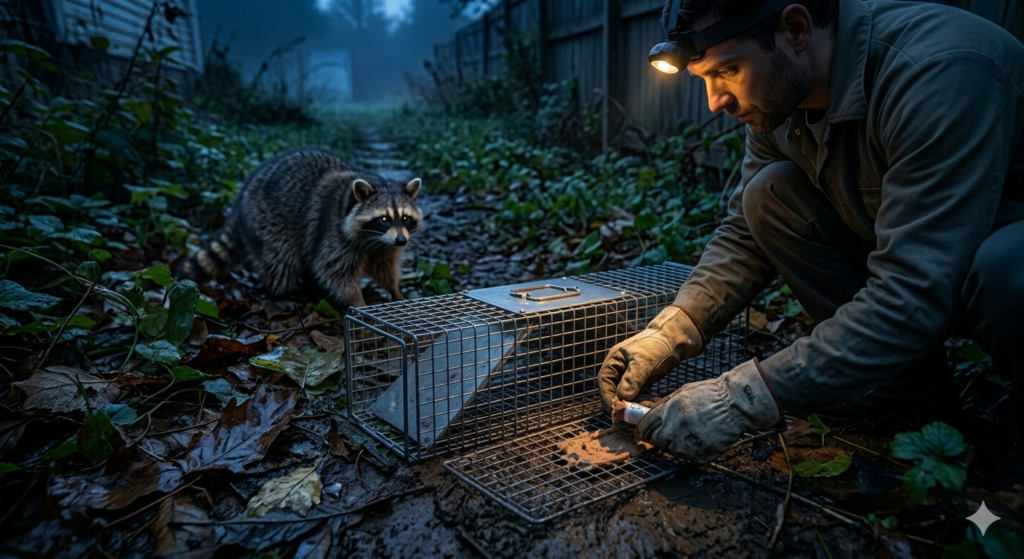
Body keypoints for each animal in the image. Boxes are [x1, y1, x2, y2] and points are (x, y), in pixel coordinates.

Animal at [178, 147, 422, 309]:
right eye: (384, 218)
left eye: (405, 217)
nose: (402, 241)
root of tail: (239, 204)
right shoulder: (333, 232)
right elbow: (333, 270)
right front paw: (358, 301)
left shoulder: (383, 246)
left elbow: (384, 268)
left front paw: (395, 290)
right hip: (267, 221)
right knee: (281, 259)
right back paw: (279, 293)